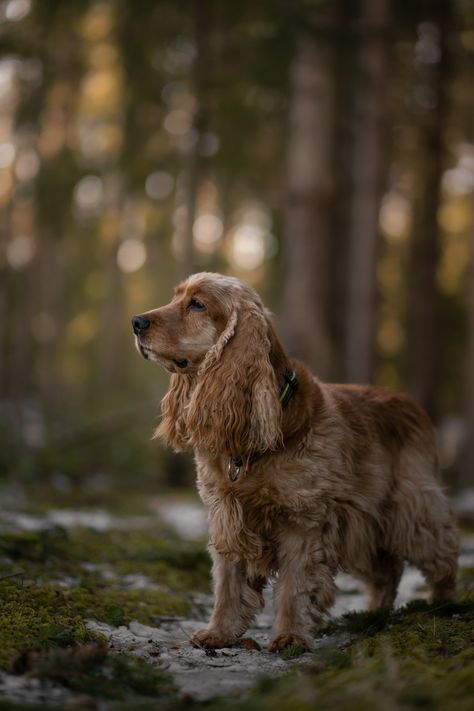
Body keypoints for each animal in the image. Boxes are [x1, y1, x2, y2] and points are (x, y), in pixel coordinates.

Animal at [131, 276, 458, 652]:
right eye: (176, 297)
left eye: (197, 304)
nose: (136, 322)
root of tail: (412, 404)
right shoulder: (227, 514)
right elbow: (227, 583)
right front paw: (219, 632)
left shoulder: (302, 521)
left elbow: (294, 586)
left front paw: (290, 636)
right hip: (366, 526)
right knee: (386, 572)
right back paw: (373, 614)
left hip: (412, 508)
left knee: (442, 554)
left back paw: (445, 604)